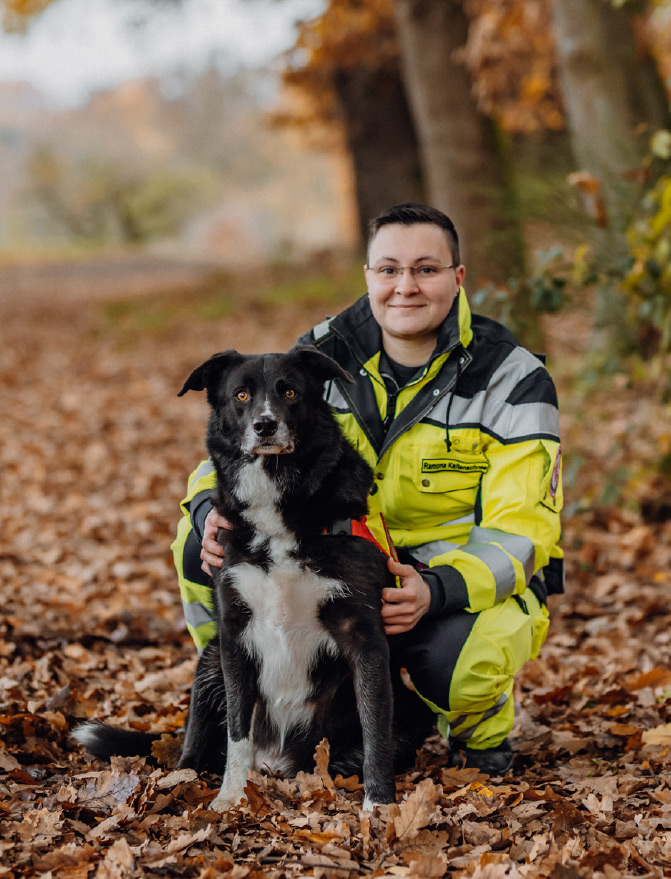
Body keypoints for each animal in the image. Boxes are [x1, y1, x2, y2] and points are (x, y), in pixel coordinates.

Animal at [72, 346, 430, 812]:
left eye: (290, 392)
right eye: (241, 395)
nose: (265, 425)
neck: (277, 511)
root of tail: (276, 762)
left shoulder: (364, 636)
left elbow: (375, 731)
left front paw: (379, 807)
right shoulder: (234, 635)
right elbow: (237, 729)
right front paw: (229, 798)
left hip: (408, 716)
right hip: (208, 664)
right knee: (197, 743)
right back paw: (183, 780)